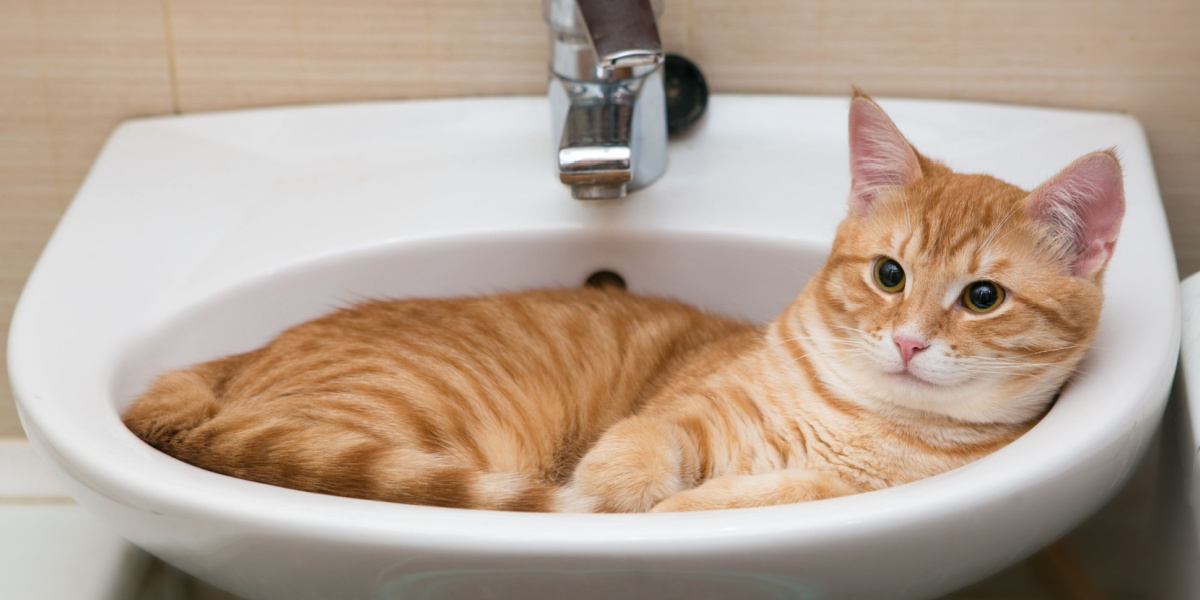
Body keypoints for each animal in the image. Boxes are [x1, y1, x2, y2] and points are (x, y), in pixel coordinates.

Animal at [124, 91, 1123, 513]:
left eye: (983, 297)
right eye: (888, 276)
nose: (909, 342)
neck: (859, 418)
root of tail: (230, 369)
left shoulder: (838, 488)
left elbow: (746, 499)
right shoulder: (692, 414)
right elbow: (643, 447)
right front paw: (620, 490)